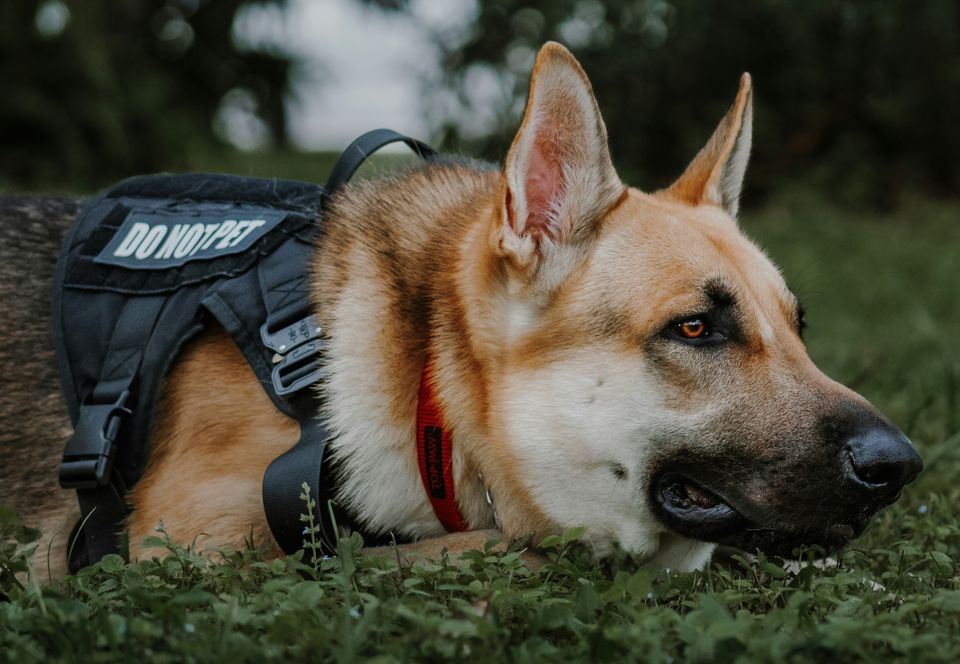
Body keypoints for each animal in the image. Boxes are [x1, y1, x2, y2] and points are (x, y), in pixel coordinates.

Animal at [0, 44, 920, 580]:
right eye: (696, 328)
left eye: (798, 328)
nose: (901, 466)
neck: (428, 389)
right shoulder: (177, 547)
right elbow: (489, 546)